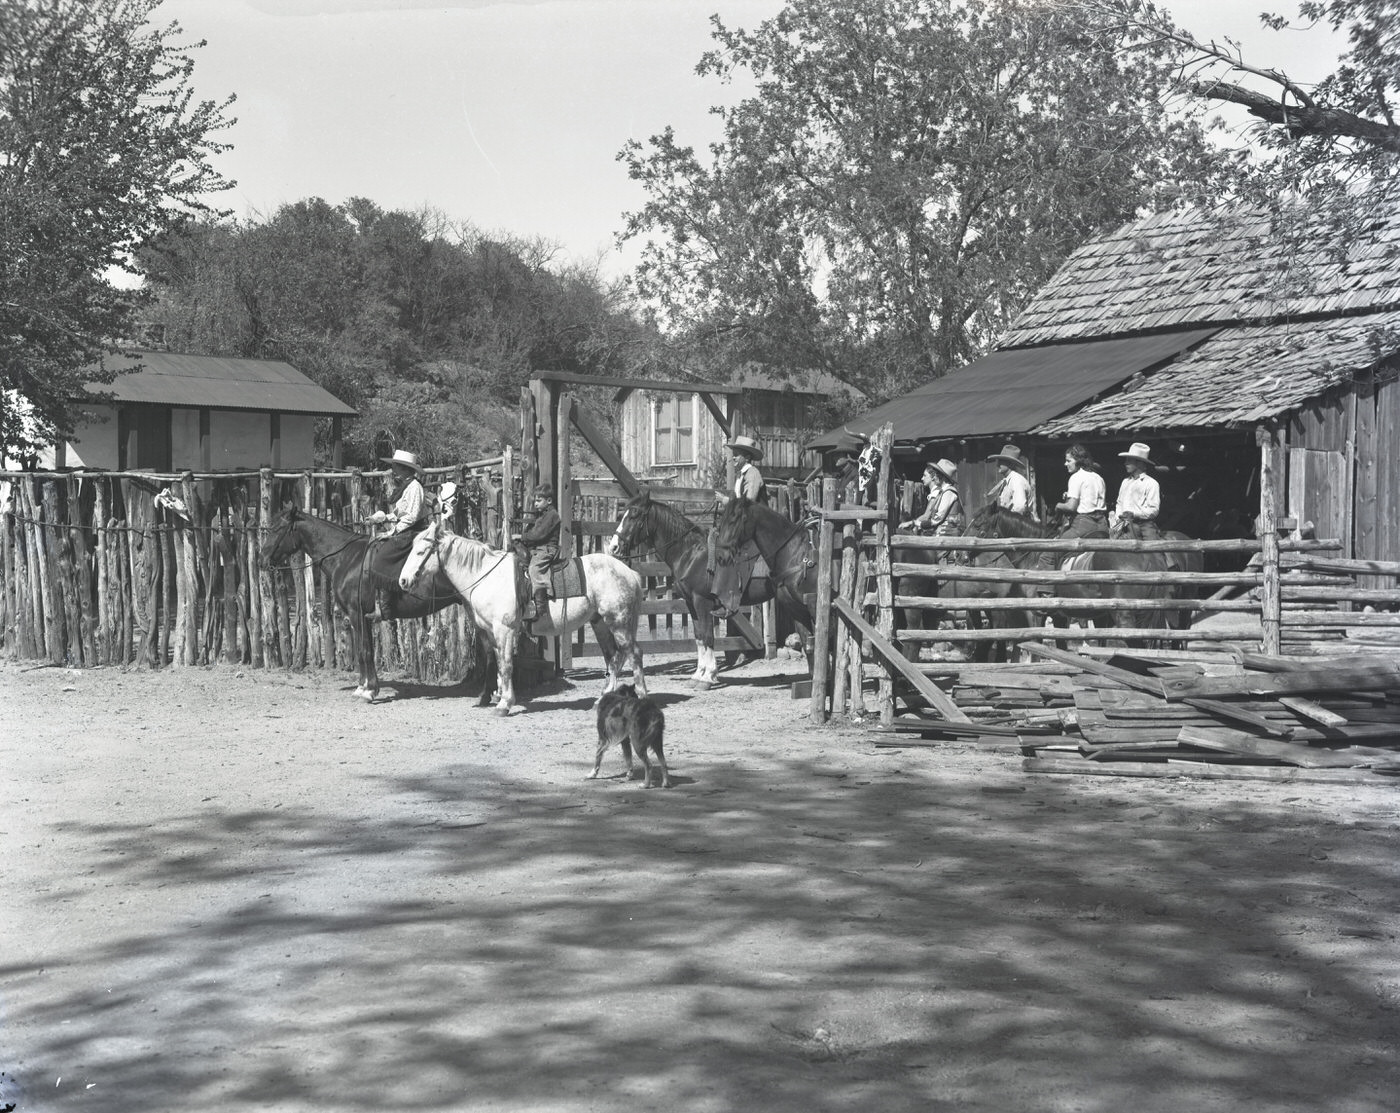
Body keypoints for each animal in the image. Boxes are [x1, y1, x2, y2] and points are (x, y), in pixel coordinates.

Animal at [260, 506, 462, 700]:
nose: (262, 560)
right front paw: (362, 687)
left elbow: (364, 651)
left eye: (277, 529)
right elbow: (362, 650)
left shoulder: (356, 613)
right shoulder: (362, 617)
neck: (346, 558)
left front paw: (369, 691)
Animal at [400, 520, 649, 714]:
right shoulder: (490, 632)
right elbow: (498, 662)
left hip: (618, 622)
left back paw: (642, 696)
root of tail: (630, 573)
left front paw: (504, 704)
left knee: (634, 654)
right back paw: (601, 701)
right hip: (600, 623)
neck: (485, 576)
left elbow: (507, 663)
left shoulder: (505, 629)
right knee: (614, 657)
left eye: (421, 552)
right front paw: (498, 697)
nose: (403, 581)